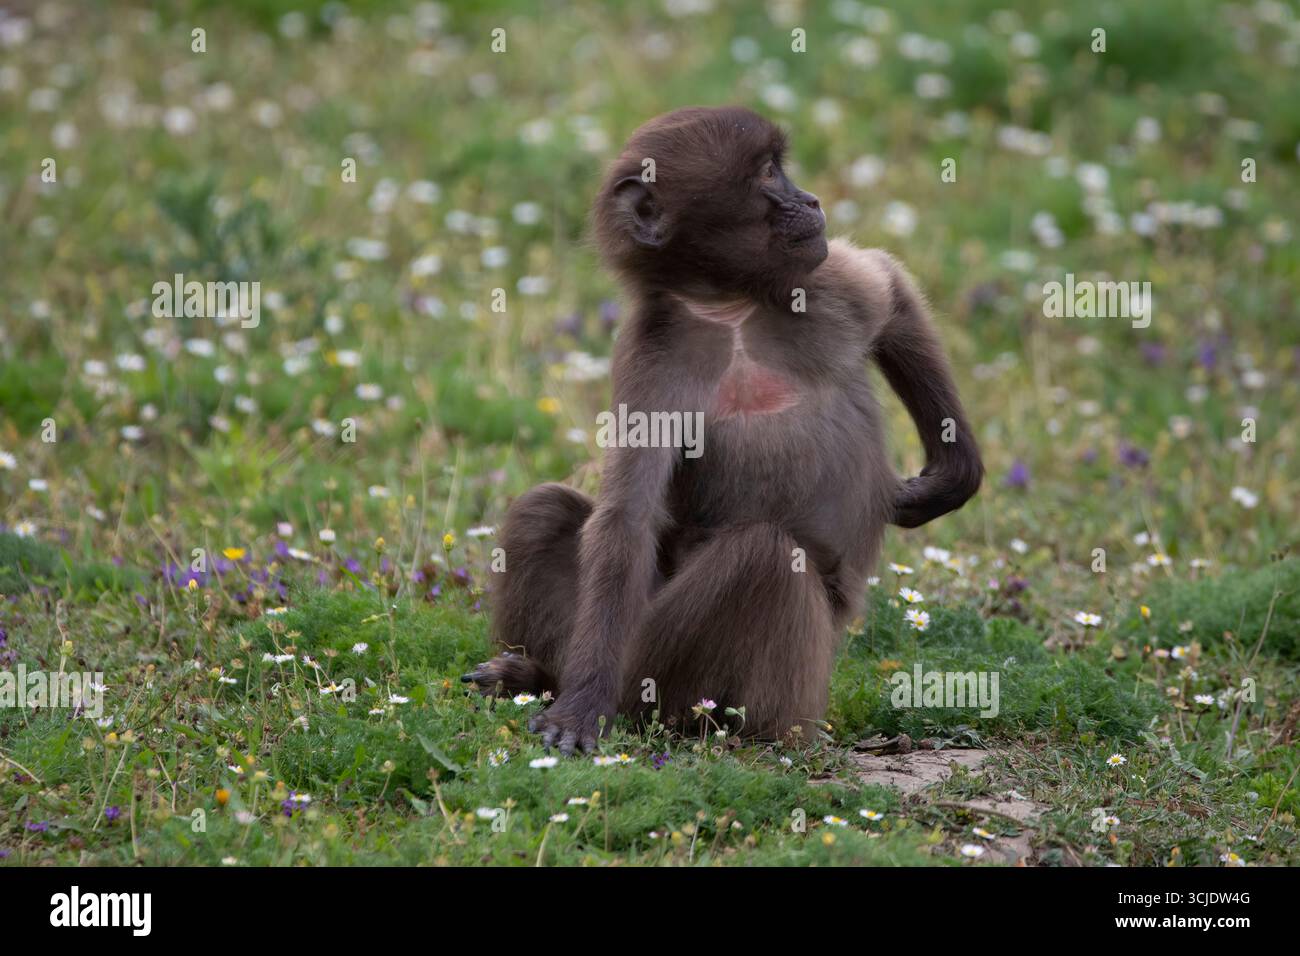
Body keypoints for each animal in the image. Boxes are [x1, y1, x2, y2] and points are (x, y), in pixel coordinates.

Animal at [466, 106, 982, 755]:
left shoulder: (822, 283)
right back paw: (548, 679)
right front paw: (579, 708)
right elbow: (626, 520)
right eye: (766, 174)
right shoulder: (650, 360)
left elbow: (890, 289)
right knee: (553, 510)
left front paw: (952, 476)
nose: (812, 201)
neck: (729, 310)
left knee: (760, 555)